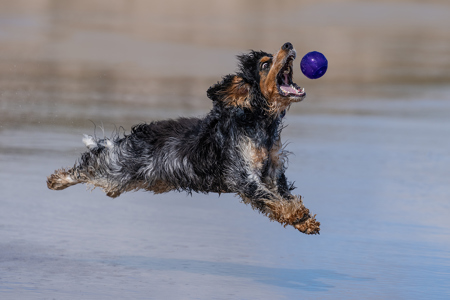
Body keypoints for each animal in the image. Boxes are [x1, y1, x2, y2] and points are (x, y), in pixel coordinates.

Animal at [47, 42, 320, 234]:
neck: (259, 123)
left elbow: (282, 197)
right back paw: (57, 180)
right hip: (117, 168)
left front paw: (304, 220)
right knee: (91, 162)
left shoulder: (273, 173)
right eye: (265, 64)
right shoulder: (243, 177)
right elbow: (270, 198)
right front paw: (297, 215)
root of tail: (133, 137)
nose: (288, 44)